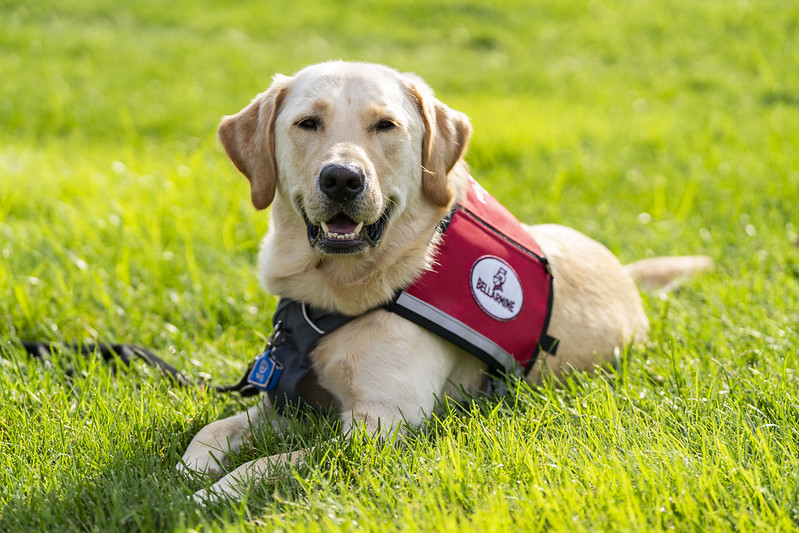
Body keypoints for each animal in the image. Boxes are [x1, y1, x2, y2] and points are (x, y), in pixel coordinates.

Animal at [178, 60, 708, 500]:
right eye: (307, 123)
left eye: (385, 125)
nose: (342, 179)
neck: (333, 298)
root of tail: (624, 272)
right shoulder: (289, 402)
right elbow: (212, 432)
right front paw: (189, 471)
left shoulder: (379, 426)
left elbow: (274, 462)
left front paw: (213, 493)